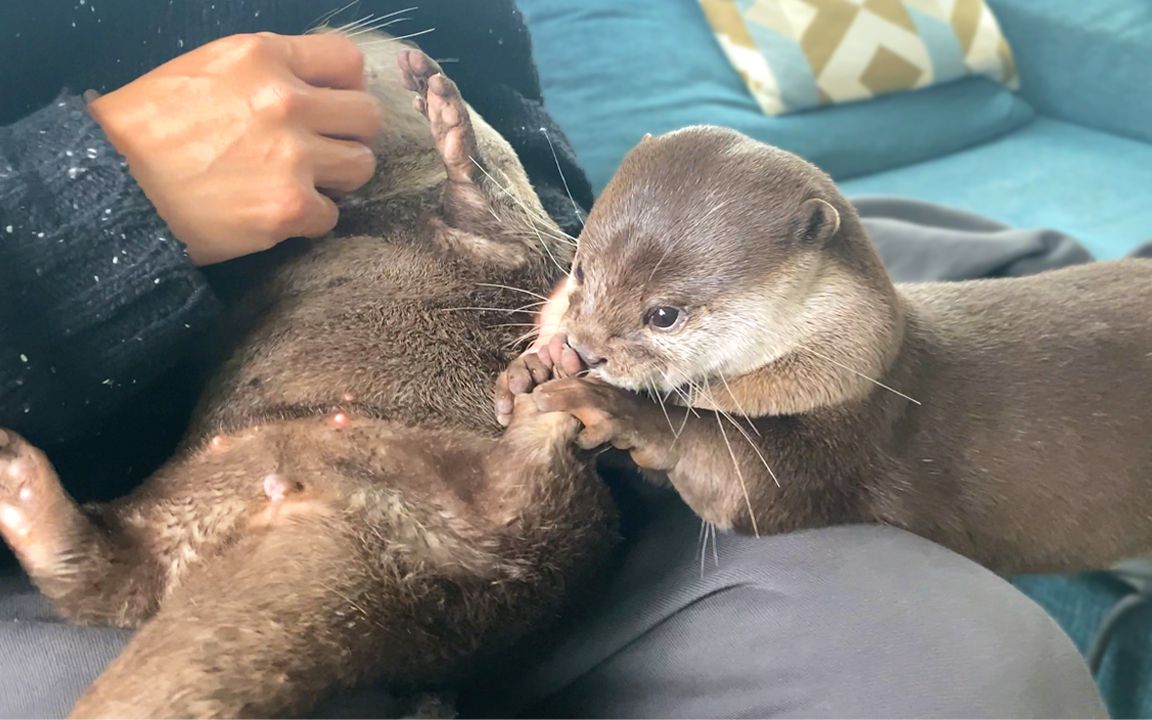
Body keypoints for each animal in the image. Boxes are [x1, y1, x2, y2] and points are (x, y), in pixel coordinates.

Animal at [0, 30, 617, 714]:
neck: (392, 209)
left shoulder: (518, 241)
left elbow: (489, 219)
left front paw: (449, 121)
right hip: (181, 509)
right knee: (104, 578)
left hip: (535, 525)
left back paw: (542, 401)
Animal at [495, 122, 1152, 573]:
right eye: (580, 267)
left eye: (664, 315)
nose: (585, 348)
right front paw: (531, 368)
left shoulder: (858, 442)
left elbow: (737, 476)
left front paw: (607, 404)